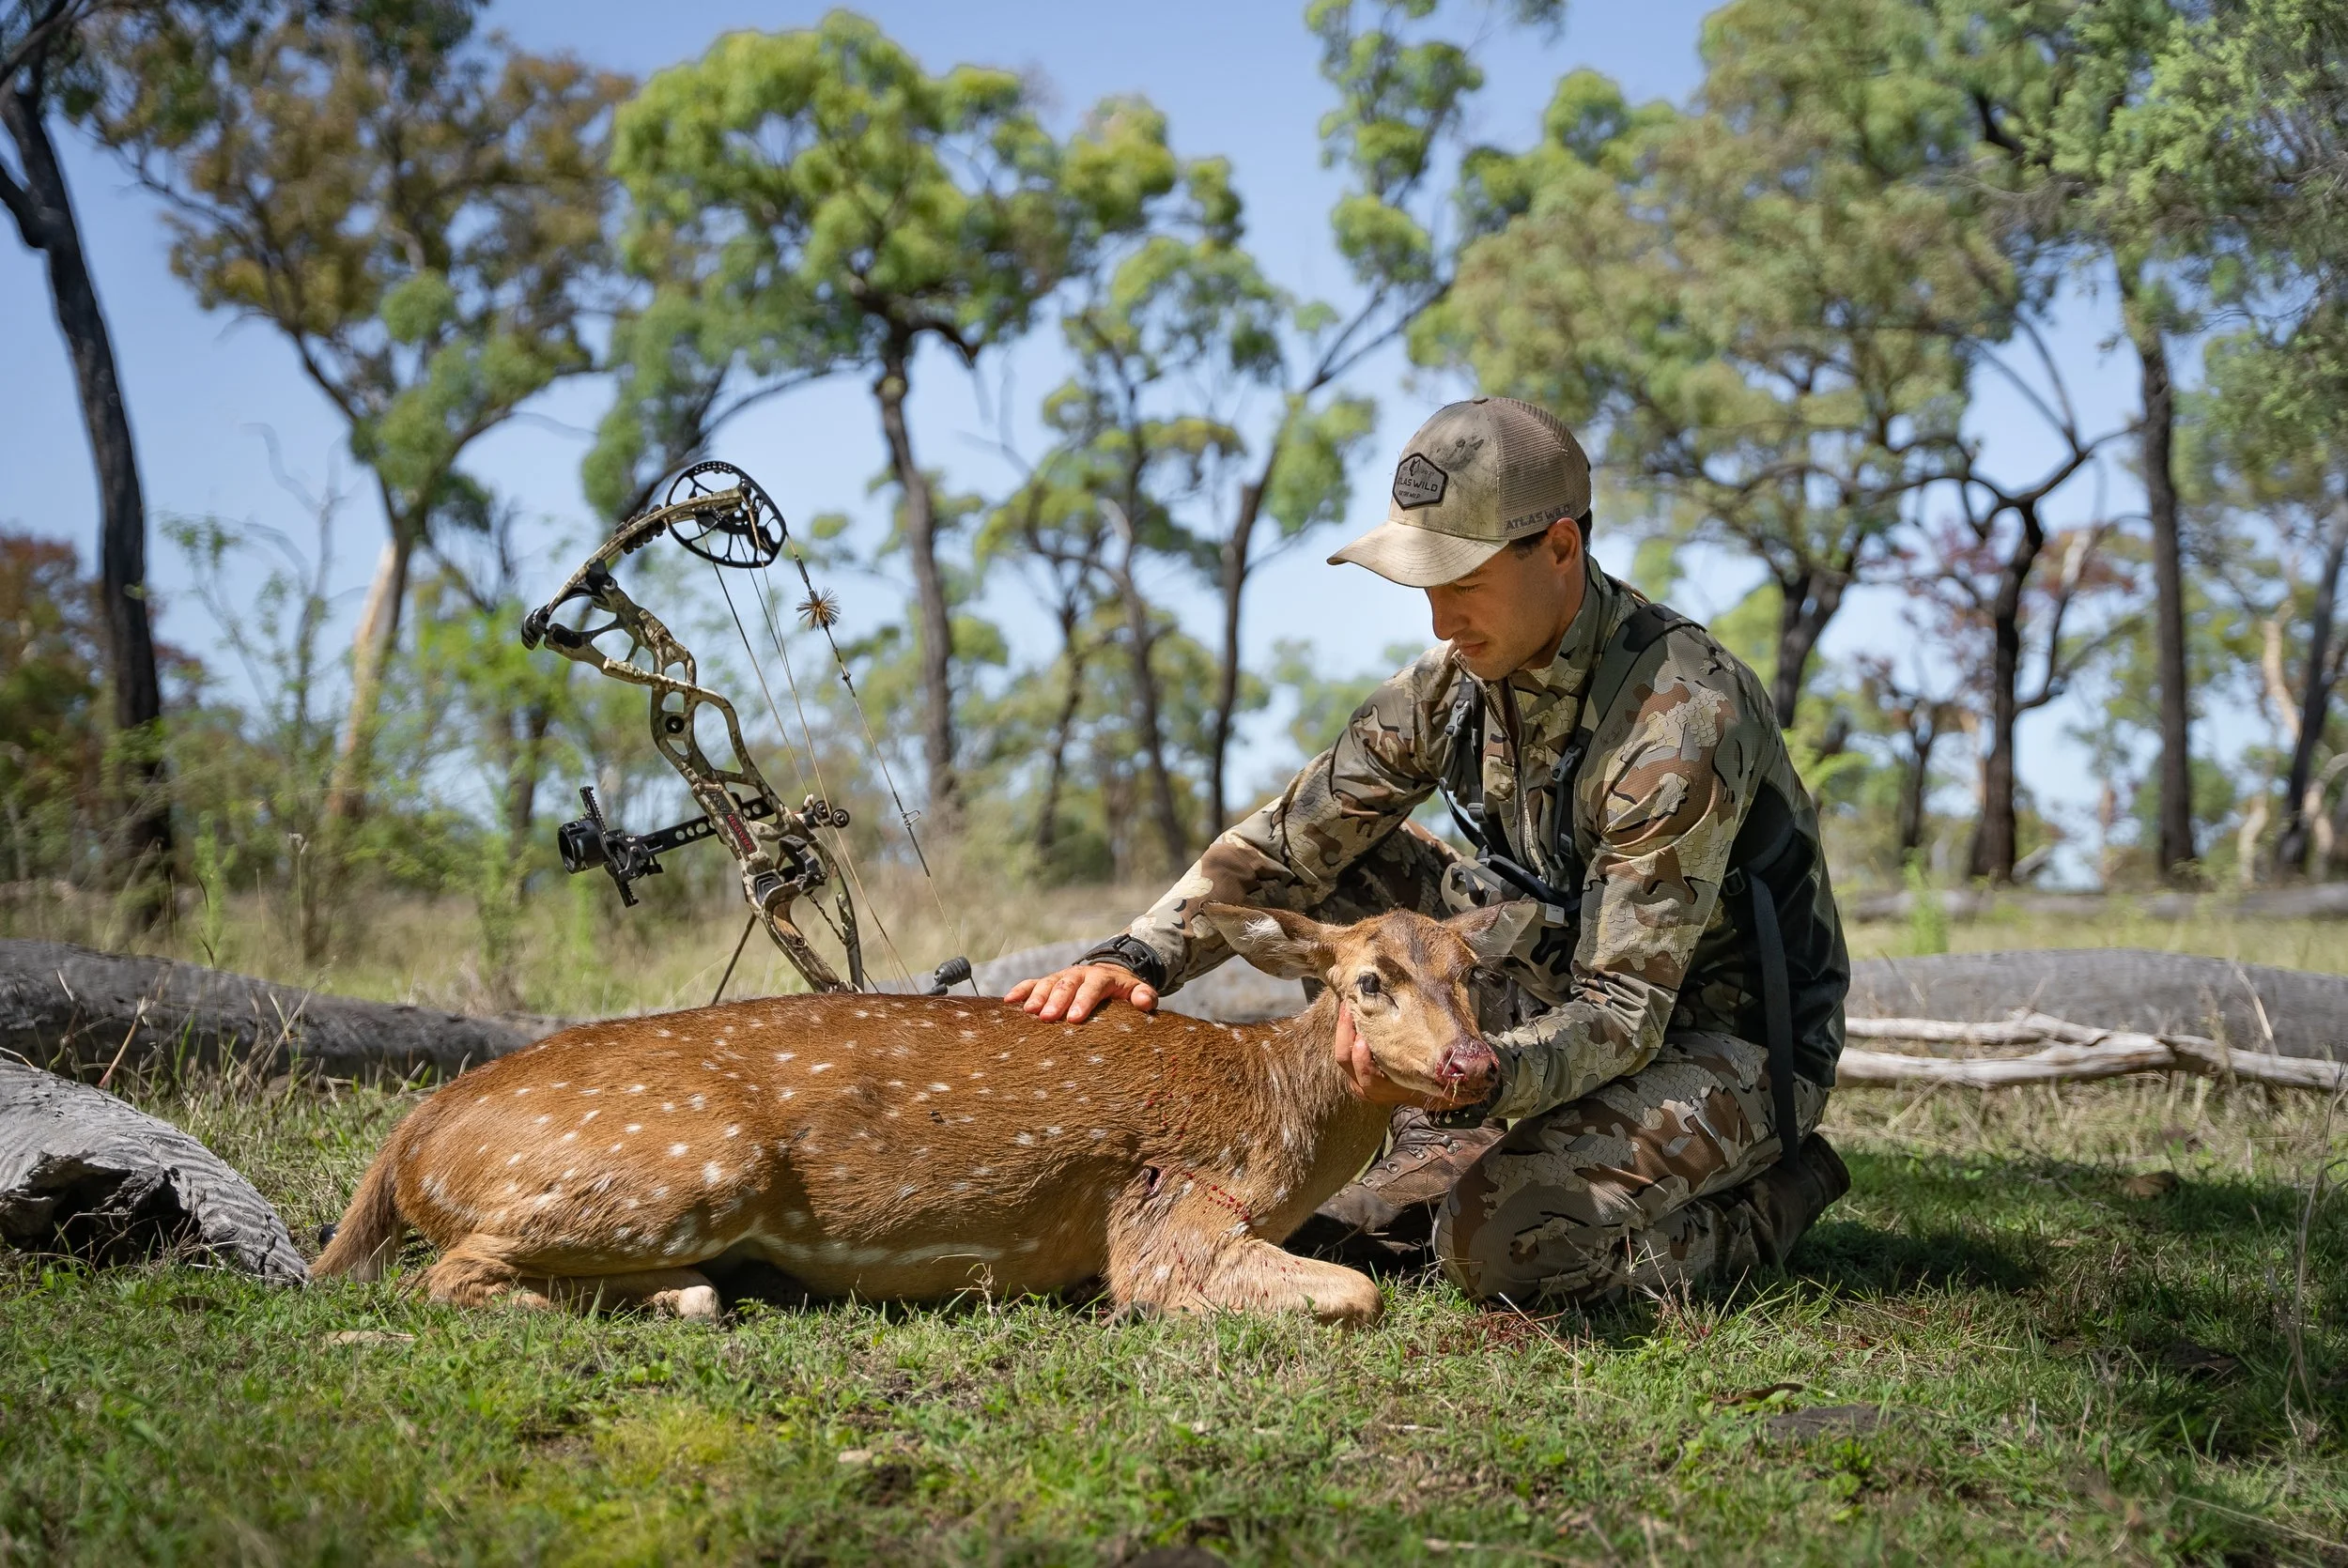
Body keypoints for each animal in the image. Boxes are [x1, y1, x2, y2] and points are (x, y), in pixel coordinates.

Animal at [311, 901, 1532, 1326]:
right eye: (1367, 980)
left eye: (1474, 970)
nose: (1473, 1060)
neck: (1273, 1116)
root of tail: (411, 1136)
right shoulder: (1164, 1212)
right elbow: (1355, 1293)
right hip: (689, 1161)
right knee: (439, 1273)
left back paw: (684, 1294)